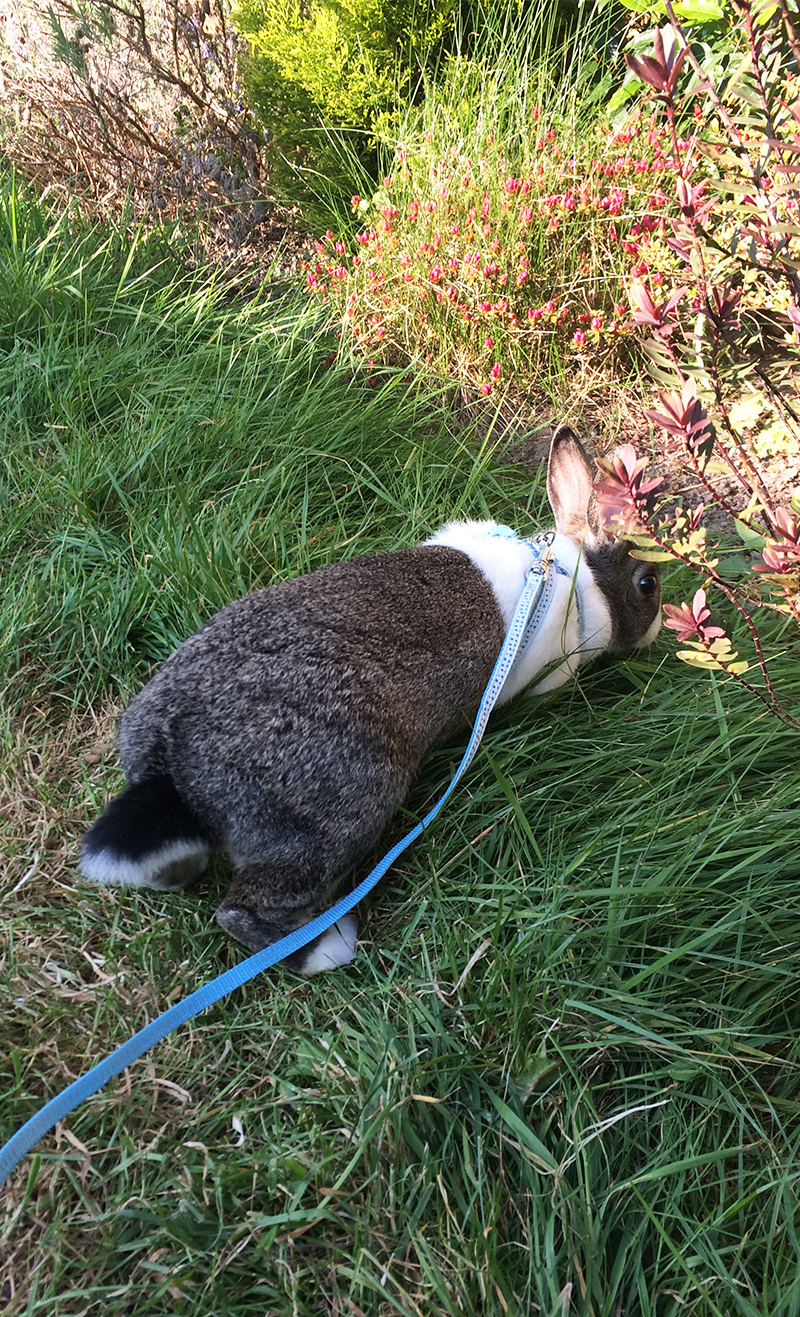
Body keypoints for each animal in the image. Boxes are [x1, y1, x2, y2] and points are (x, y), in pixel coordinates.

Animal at [81, 426, 664, 974]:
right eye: (648, 583)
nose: (658, 631)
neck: (570, 574)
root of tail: (172, 769)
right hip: (340, 808)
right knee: (243, 909)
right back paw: (328, 948)